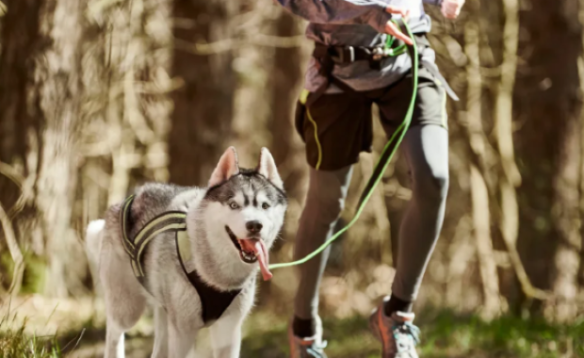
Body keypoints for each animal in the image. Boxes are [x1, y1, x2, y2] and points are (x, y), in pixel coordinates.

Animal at [85, 146, 288, 358]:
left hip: (164, 315)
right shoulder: (183, 332)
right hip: (128, 310)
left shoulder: (228, 331)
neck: (218, 276)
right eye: (234, 205)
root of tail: (127, 199)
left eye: (265, 206)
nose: (255, 225)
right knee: (113, 334)